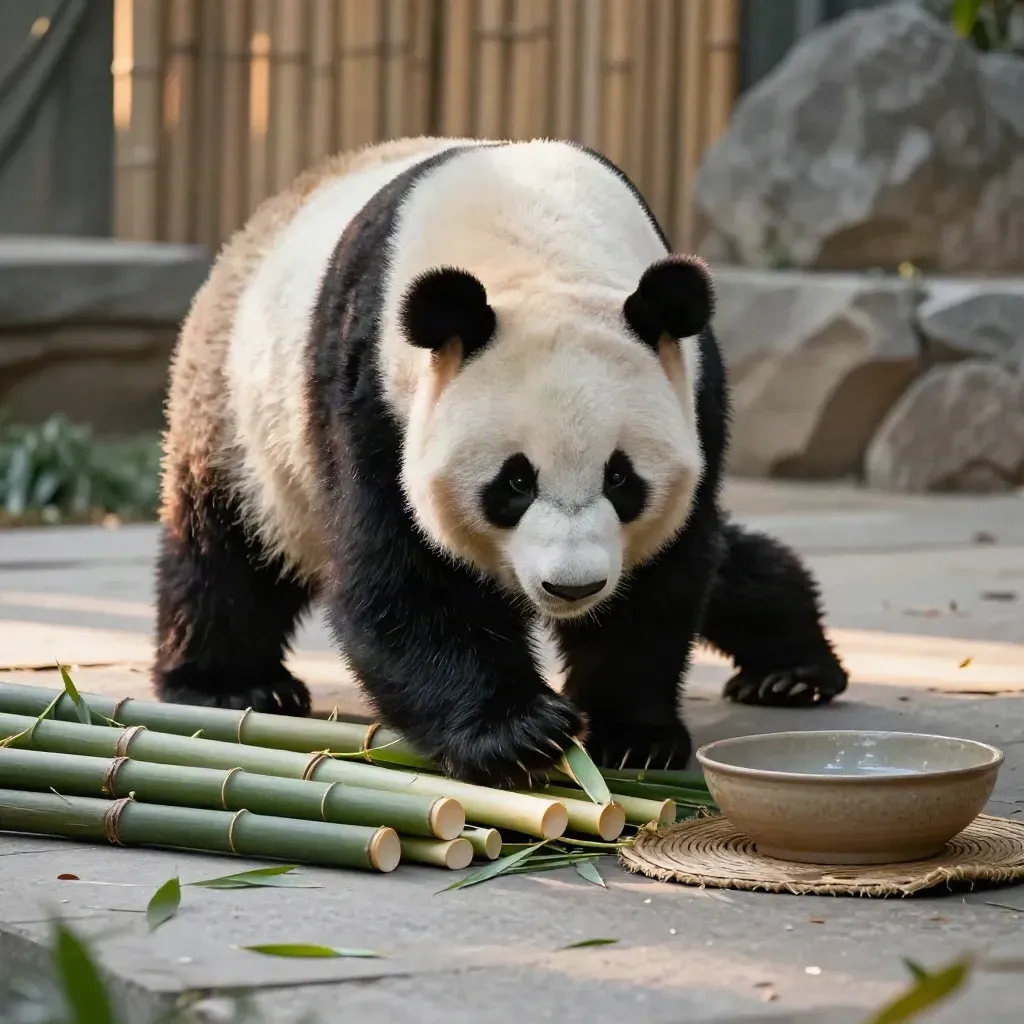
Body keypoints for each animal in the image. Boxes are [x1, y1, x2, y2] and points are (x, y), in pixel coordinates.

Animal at [154, 136, 848, 787]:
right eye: (514, 481)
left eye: (621, 478)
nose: (573, 587)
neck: (537, 246)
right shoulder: (371, 395)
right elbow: (402, 581)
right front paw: (521, 733)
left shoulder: (696, 393)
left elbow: (664, 578)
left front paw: (634, 736)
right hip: (240, 419)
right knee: (226, 546)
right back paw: (230, 684)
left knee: (725, 562)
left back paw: (792, 671)